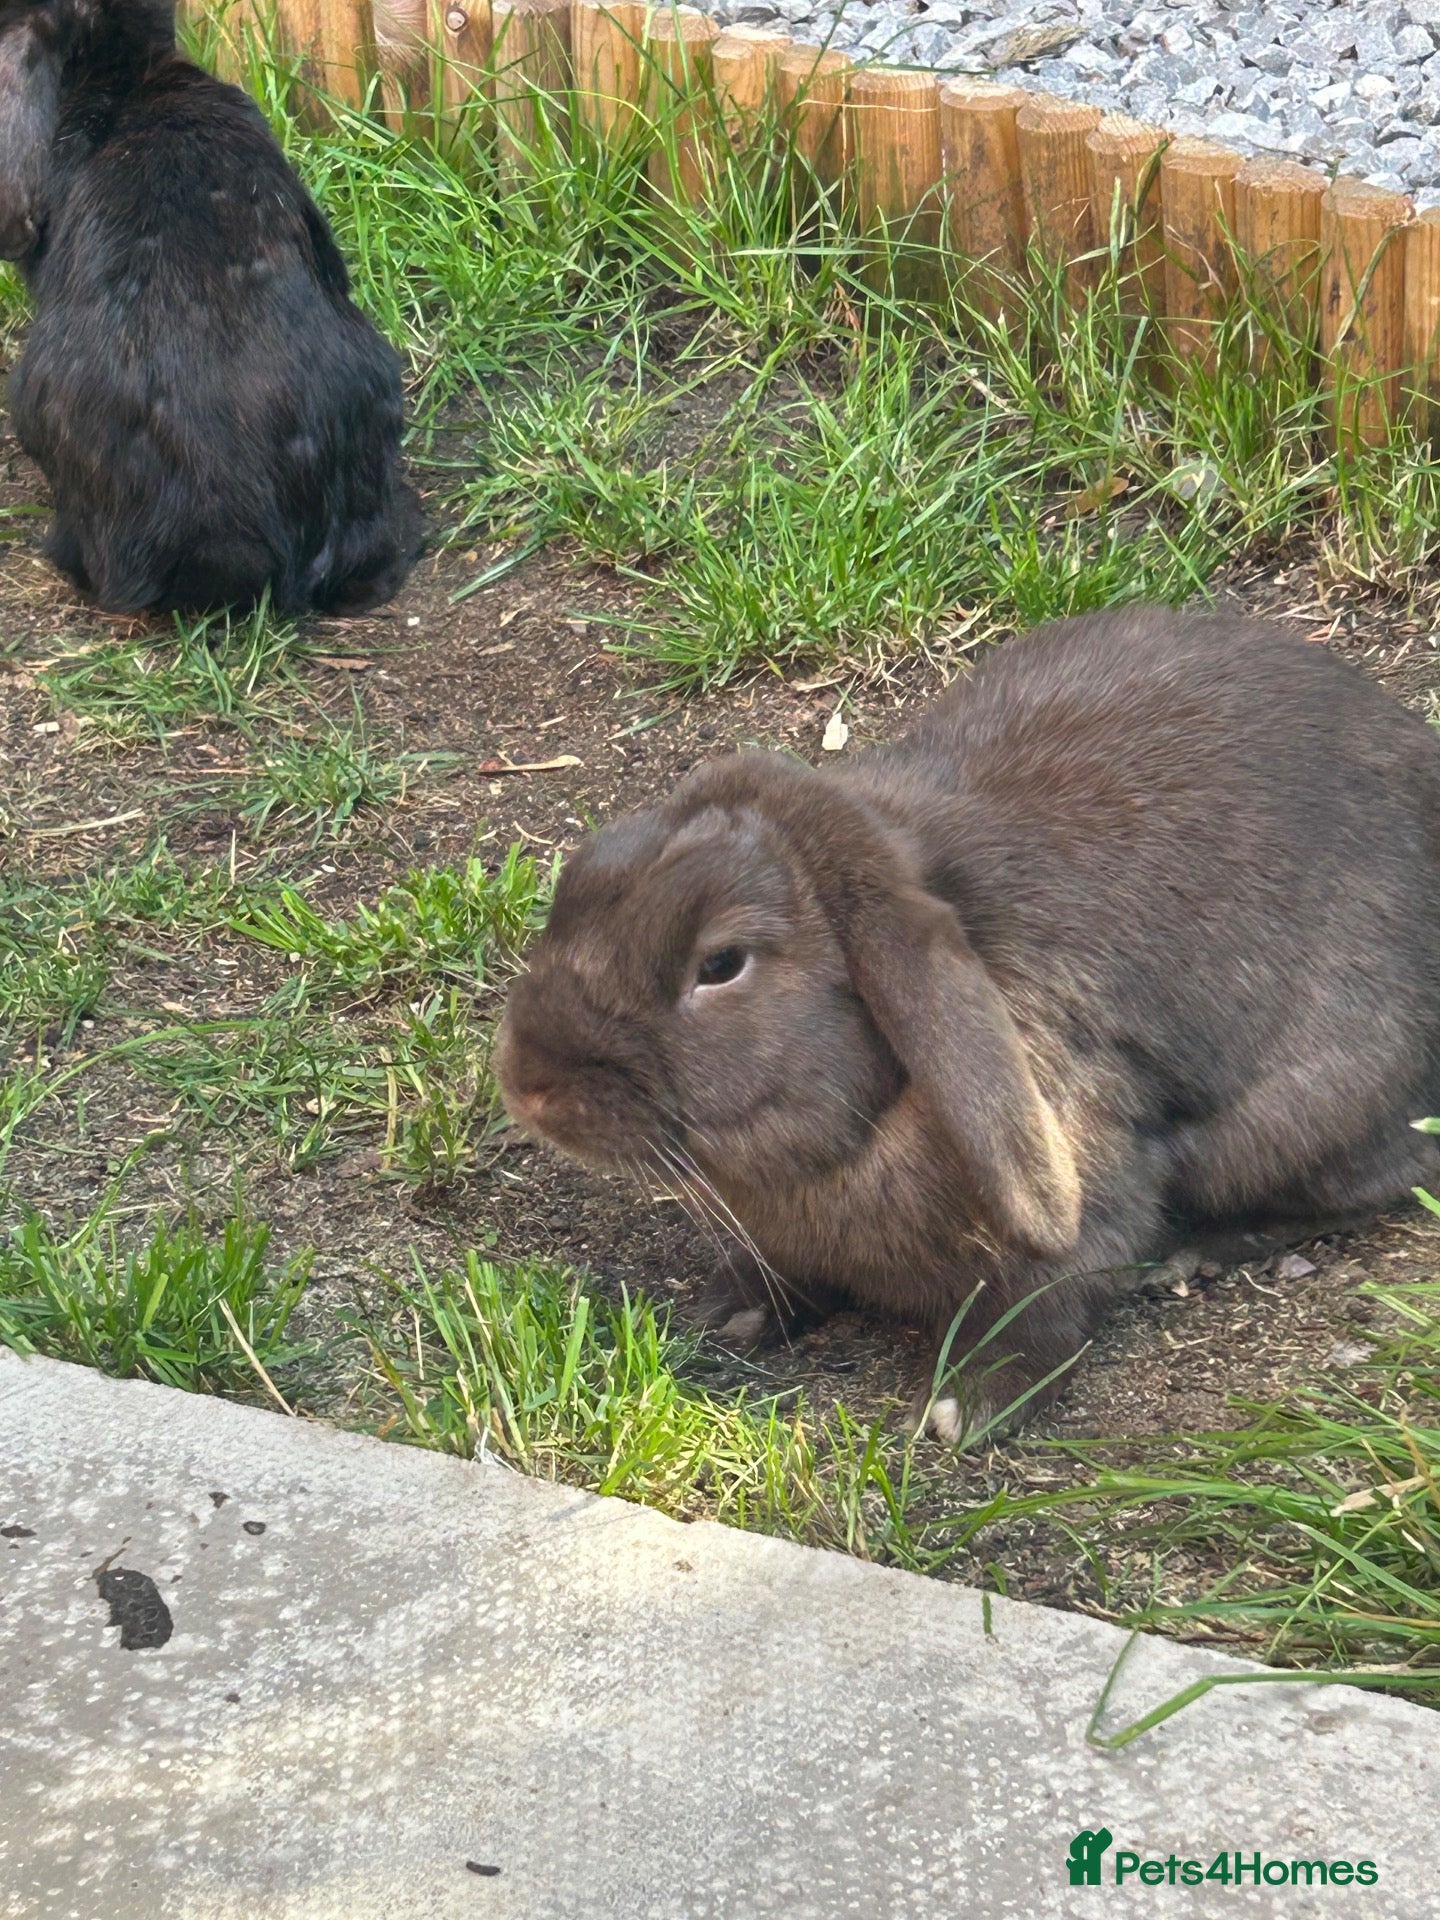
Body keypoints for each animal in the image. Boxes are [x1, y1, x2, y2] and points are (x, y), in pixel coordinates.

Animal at [495, 608, 1440, 1441]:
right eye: (582, 877)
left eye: (721, 964)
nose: (528, 1085)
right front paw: (729, 1315)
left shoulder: (1083, 1200)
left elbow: (1049, 1305)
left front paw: (970, 1408)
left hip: (1311, 1115)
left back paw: (1202, 1248)